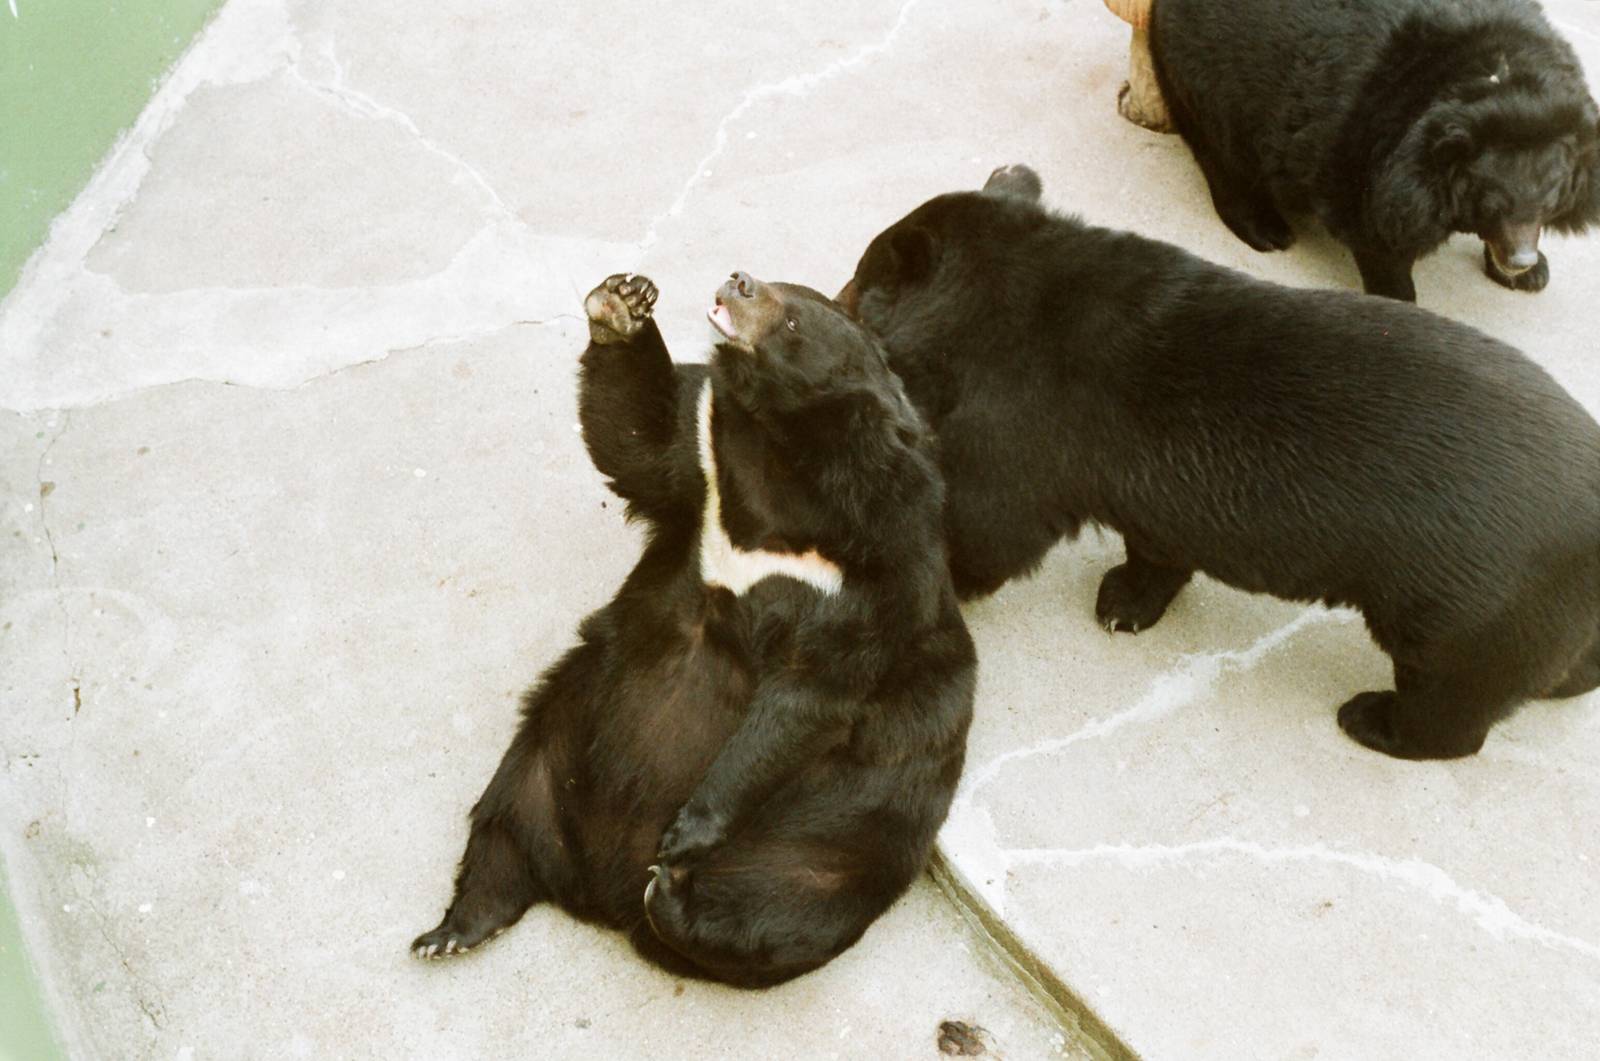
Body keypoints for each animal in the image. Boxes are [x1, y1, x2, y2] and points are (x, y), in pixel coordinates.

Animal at [411, 271, 975, 988]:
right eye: (772, 282)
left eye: (792, 319)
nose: (738, 280)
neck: (782, 455)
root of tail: (600, 892)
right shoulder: (704, 456)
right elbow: (637, 440)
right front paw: (622, 302)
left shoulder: (880, 567)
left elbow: (807, 696)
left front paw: (686, 829)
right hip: (552, 744)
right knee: (503, 821)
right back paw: (453, 930)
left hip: (834, 842)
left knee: (777, 913)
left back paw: (671, 894)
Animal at [836, 164, 1600, 760]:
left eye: (855, 281)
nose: (833, 299)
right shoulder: (1149, 486)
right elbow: (1157, 543)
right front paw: (1126, 602)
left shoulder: (1023, 423)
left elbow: (993, 522)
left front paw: (948, 579)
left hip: (1470, 595)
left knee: (1450, 694)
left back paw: (1374, 718)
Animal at [1147, 0, 1600, 301]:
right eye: (1491, 202)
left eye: (1550, 199)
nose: (1520, 258)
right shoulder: (1370, 139)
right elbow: (1374, 226)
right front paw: (1400, 298)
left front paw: (1530, 274)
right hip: (1213, 69)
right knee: (1221, 146)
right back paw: (1266, 228)